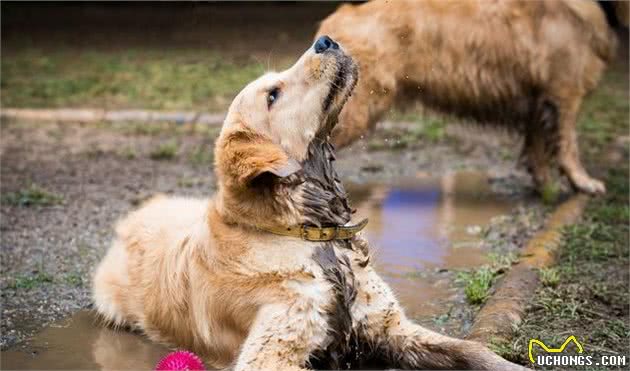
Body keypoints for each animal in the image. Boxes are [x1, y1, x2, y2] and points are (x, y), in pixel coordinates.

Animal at [92, 37, 524, 370]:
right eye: (273, 94)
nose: (325, 40)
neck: (308, 233)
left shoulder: (390, 325)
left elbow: (475, 350)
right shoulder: (271, 352)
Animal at [316, 0, 616, 196]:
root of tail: (333, 22)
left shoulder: (538, 99)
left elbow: (537, 147)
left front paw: (546, 187)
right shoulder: (564, 93)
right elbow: (568, 144)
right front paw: (583, 182)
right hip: (358, 108)